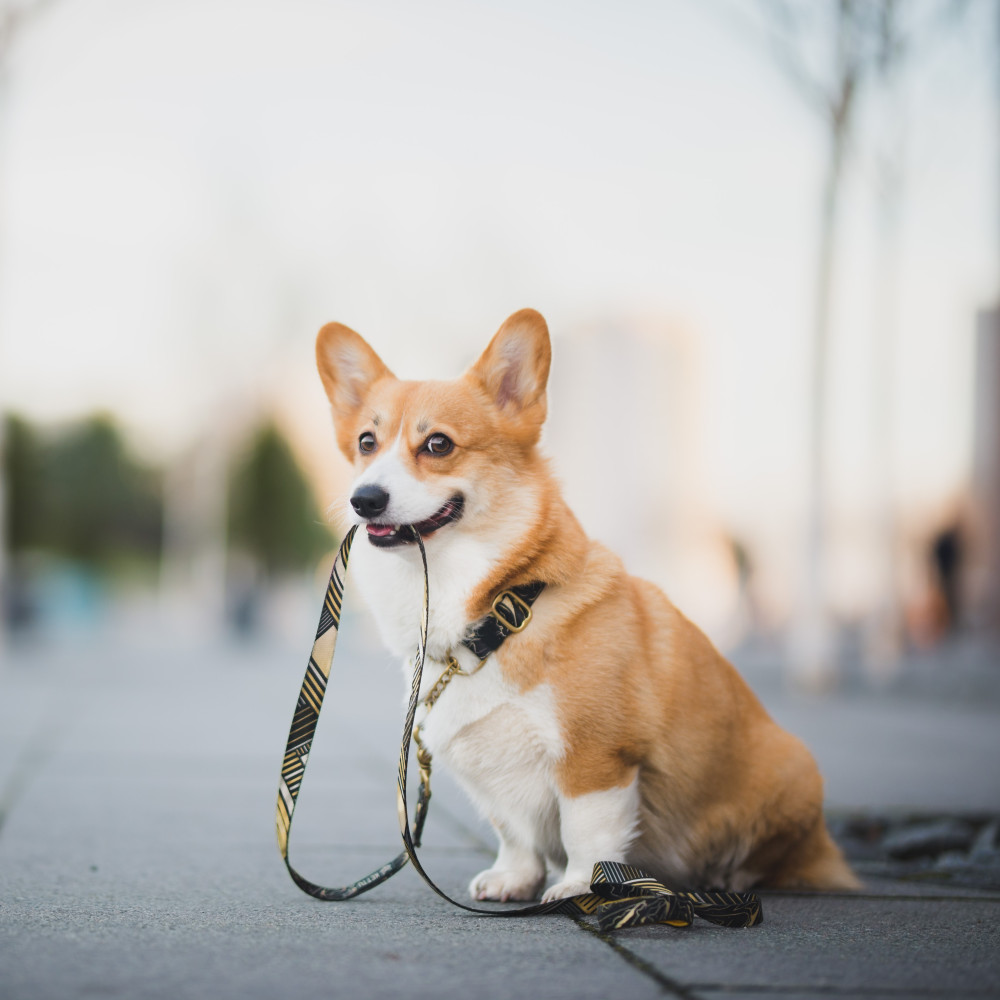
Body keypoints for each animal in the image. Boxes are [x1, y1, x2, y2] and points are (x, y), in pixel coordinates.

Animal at [318, 308, 860, 904]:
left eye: (438, 444)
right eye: (367, 442)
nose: (364, 499)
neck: (499, 615)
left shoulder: (595, 759)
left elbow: (587, 830)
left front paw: (582, 886)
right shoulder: (492, 772)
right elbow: (514, 831)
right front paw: (513, 879)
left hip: (793, 771)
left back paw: (732, 877)